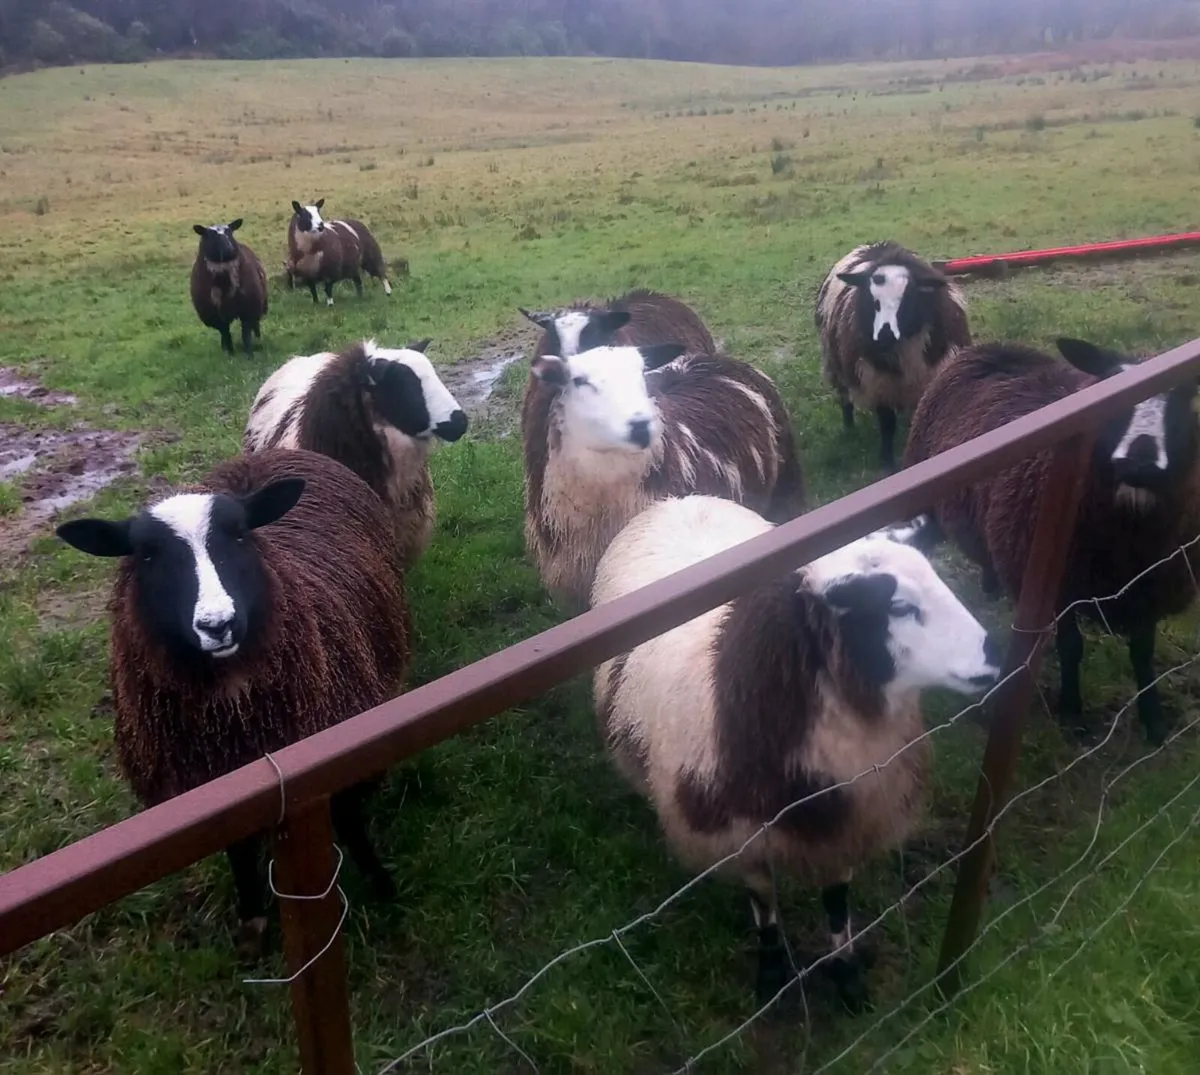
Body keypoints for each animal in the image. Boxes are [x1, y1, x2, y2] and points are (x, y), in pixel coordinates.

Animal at [55, 448, 411, 952]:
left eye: (240, 534)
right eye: (146, 553)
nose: (218, 624)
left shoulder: (333, 749)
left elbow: (348, 819)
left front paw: (381, 883)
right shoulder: (210, 788)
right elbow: (238, 850)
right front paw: (251, 918)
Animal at [190, 219, 269, 357]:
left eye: (230, 232)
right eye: (210, 235)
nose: (229, 249)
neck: (223, 283)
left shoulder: (247, 309)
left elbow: (245, 334)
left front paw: (249, 355)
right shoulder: (216, 316)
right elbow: (226, 334)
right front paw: (230, 354)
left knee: (256, 324)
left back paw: (258, 339)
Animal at [592, 495, 1000, 1008]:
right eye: (900, 606)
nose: (996, 656)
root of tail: (683, 499)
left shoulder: (850, 816)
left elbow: (837, 902)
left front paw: (846, 974)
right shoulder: (740, 833)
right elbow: (764, 904)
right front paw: (771, 972)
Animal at [816, 241, 971, 470]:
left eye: (908, 298)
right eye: (872, 300)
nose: (884, 335)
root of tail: (872, 245)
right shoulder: (879, 382)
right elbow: (887, 424)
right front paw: (886, 462)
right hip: (836, 364)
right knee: (845, 398)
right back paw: (849, 428)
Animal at [905, 337, 1200, 746]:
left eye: (1185, 399)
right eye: (1108, 391)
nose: (1139, 464)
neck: (1125, 545)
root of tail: (991, 346)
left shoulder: (1149, 587)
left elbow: (1143, 654)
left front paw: (1154, 722)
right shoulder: (1061, 589)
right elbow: (1071, 648)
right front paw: (1072, 712)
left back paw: (991, 584)